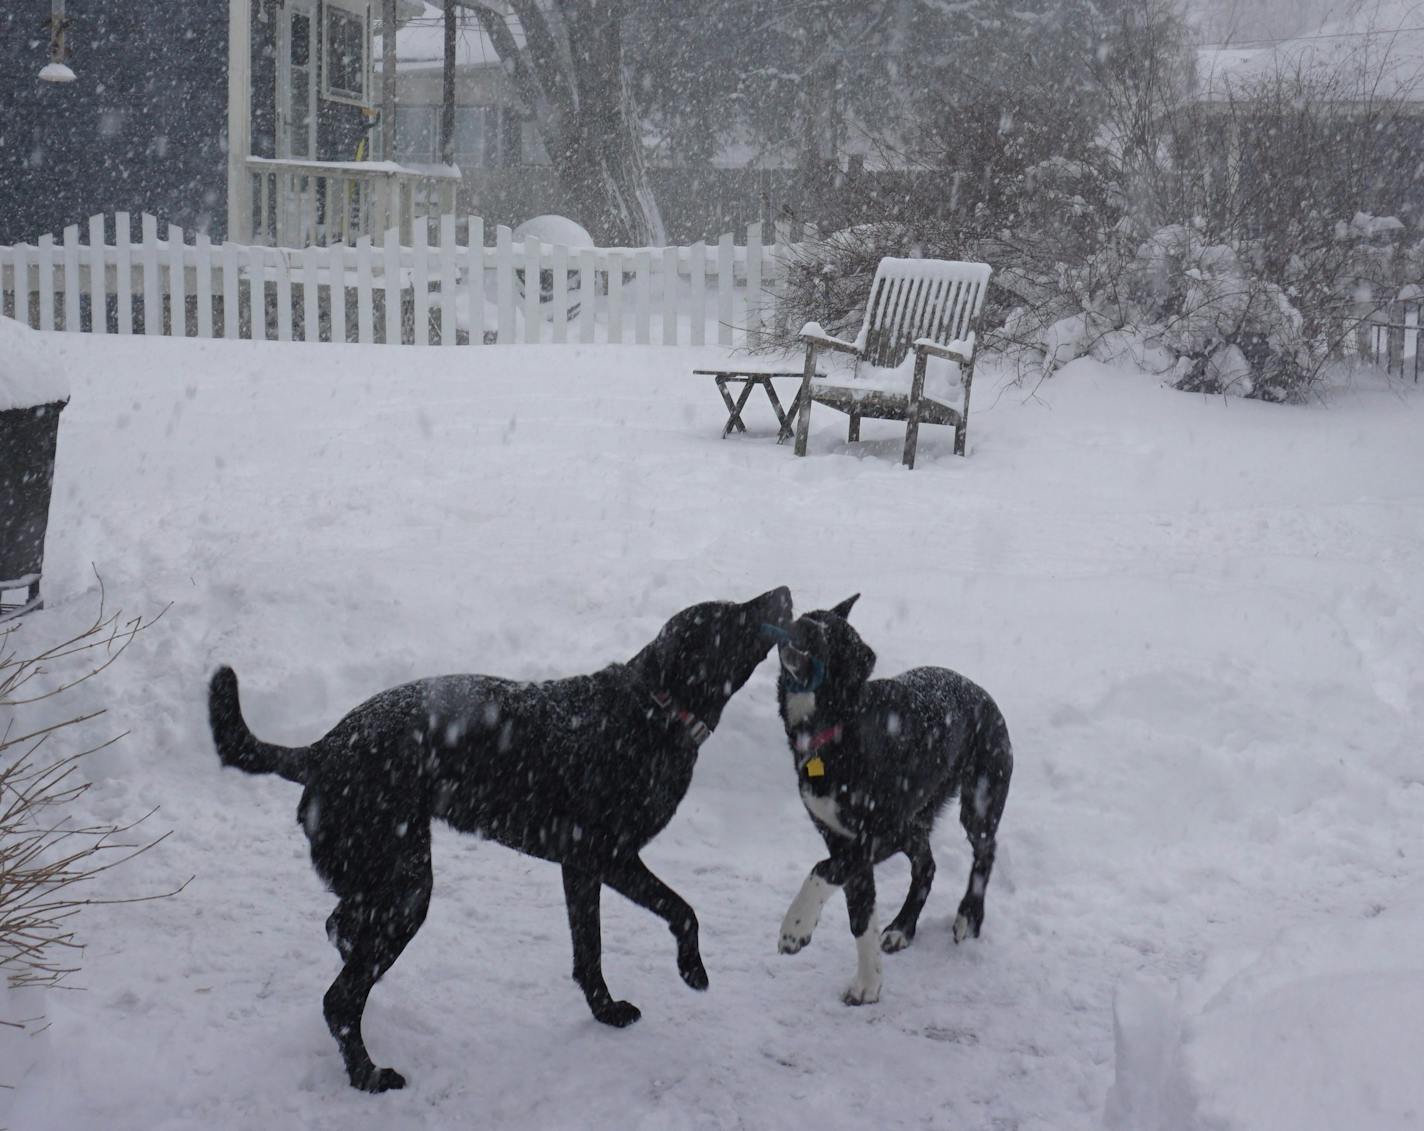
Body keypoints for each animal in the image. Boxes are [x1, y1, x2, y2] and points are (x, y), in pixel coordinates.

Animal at [207, 586, 797, 1088]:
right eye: (729, 616)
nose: (786, 591)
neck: (653, 709)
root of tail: (320, 750)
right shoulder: (610, 856)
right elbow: (683, 910)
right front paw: (692, 970)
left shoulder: (581, 868)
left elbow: (589, 952)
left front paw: (604, 1011)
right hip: (407, 888)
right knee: (341, 1000)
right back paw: (368, 1076)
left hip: (383, 878)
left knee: (340, 927)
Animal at [768, 595, 1013, 1002]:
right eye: (812, 617)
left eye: (834, 639)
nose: (801, 624)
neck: (836, 727)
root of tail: (984, 693)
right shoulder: (841, 839)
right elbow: (860, 916)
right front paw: (869, 983)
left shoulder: (874, 836)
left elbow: (820, 870)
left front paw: (795, 927)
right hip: (917, 820)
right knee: (926, 867)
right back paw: (902, 928)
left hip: (979, 798)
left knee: (985, 851)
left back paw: (968, 916)